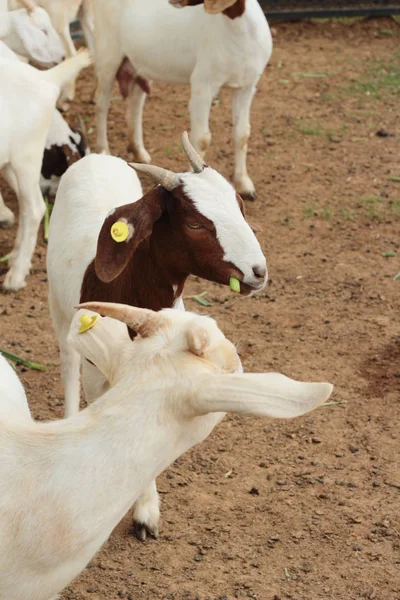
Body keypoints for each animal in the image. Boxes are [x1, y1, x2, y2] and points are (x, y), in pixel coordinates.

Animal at [0, 48, 91, 290]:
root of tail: (46, 78)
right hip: (11, 162)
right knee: (25, 204)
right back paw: (15, 256)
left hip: (26, 156)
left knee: (35, 208)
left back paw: (16, 276)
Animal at [46, 132, 266, 544]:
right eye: (195, 224)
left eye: (240, 204)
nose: (258, 272)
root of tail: (95, 157)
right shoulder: (99, 372)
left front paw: (146, 511)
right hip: (58, 305)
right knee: (68, 362)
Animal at [93, 0, 272, 199]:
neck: (238, 30)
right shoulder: (203, 84)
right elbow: (202, 139)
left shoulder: (247, 87)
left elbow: (242, 134)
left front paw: (244, 184)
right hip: (107, 53)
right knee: (102, 102)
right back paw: (103, 150)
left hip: (136, 64)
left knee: (135, 102)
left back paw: (139, 151)